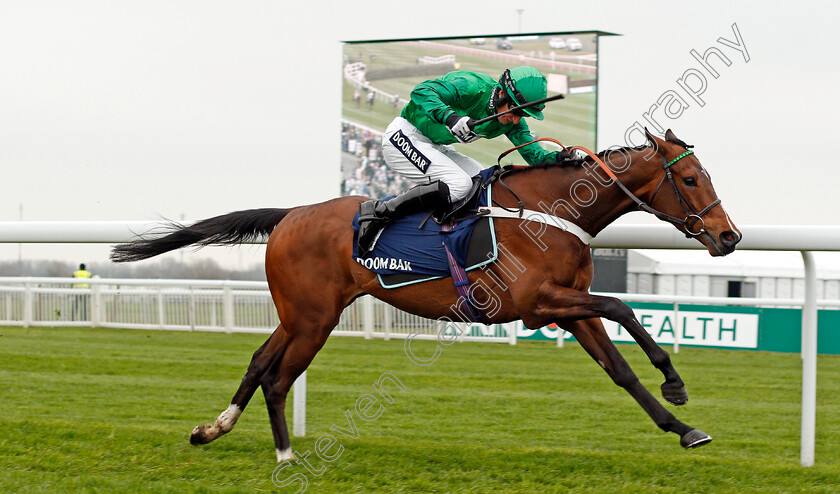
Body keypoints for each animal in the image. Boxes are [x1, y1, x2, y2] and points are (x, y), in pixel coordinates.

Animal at [111, 127, 740, 460]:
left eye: (707, 176)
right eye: (689, 179)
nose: (729, 236)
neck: (550, 210)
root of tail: (290, 215)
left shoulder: (566, 305)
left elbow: (620, 369)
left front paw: (682, 425)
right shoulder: (537, 302)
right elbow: (621, 305)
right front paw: (675, 380)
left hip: (300, 315)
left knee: (257, 362)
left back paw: (212, 428)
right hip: (313, 320)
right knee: (277, 377)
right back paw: (286, 454)